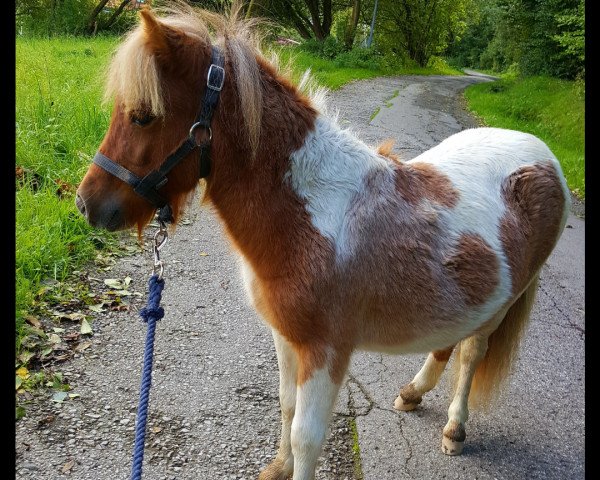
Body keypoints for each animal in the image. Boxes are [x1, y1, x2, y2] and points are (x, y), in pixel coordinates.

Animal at [76, 4, 572, 480]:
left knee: (471, 353)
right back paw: (412, 394)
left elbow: (306, 436)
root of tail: (544, 156)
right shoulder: (285, 336)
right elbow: (286, 406)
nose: (86, 205)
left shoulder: (326, 350)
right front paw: (277, 467)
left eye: (143, 116)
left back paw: (454, 428)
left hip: (502, 305)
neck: (312, 213)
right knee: (448, 341)